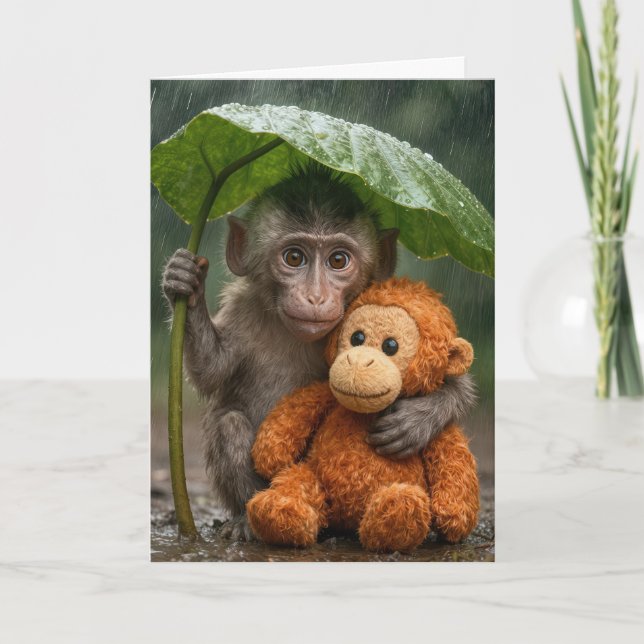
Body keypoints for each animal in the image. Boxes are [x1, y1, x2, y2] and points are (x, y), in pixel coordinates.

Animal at [162, 164, 477, 541]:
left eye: (338, 260)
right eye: (294, 257)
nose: (315, 297)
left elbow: (451, 374)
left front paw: (420, 418)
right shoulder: (243, 308)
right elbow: (212, 370)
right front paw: (187, 284)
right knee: (230, 424)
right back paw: (256, 519)